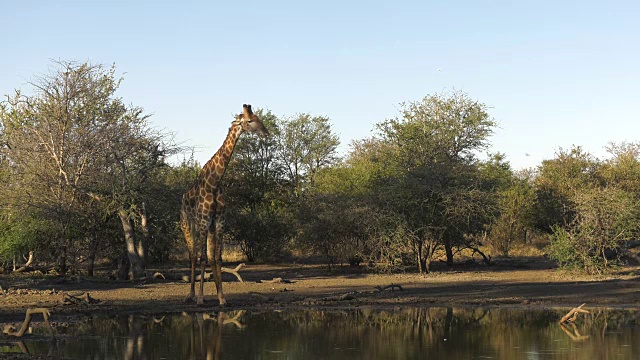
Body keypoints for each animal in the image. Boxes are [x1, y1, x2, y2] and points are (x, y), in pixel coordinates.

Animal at [181, 103, 268, 304]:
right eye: (249, 120)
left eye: (258, 118)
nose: (266, 132)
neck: (214, 182)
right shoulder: (204, 221)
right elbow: (202, 258)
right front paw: (200, 298)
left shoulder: (219, 221)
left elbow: (217, 258)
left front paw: (222, 297)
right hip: (189, 225)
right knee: (193, 255)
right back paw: (190, 295)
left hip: (208, 228)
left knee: (208, 256)